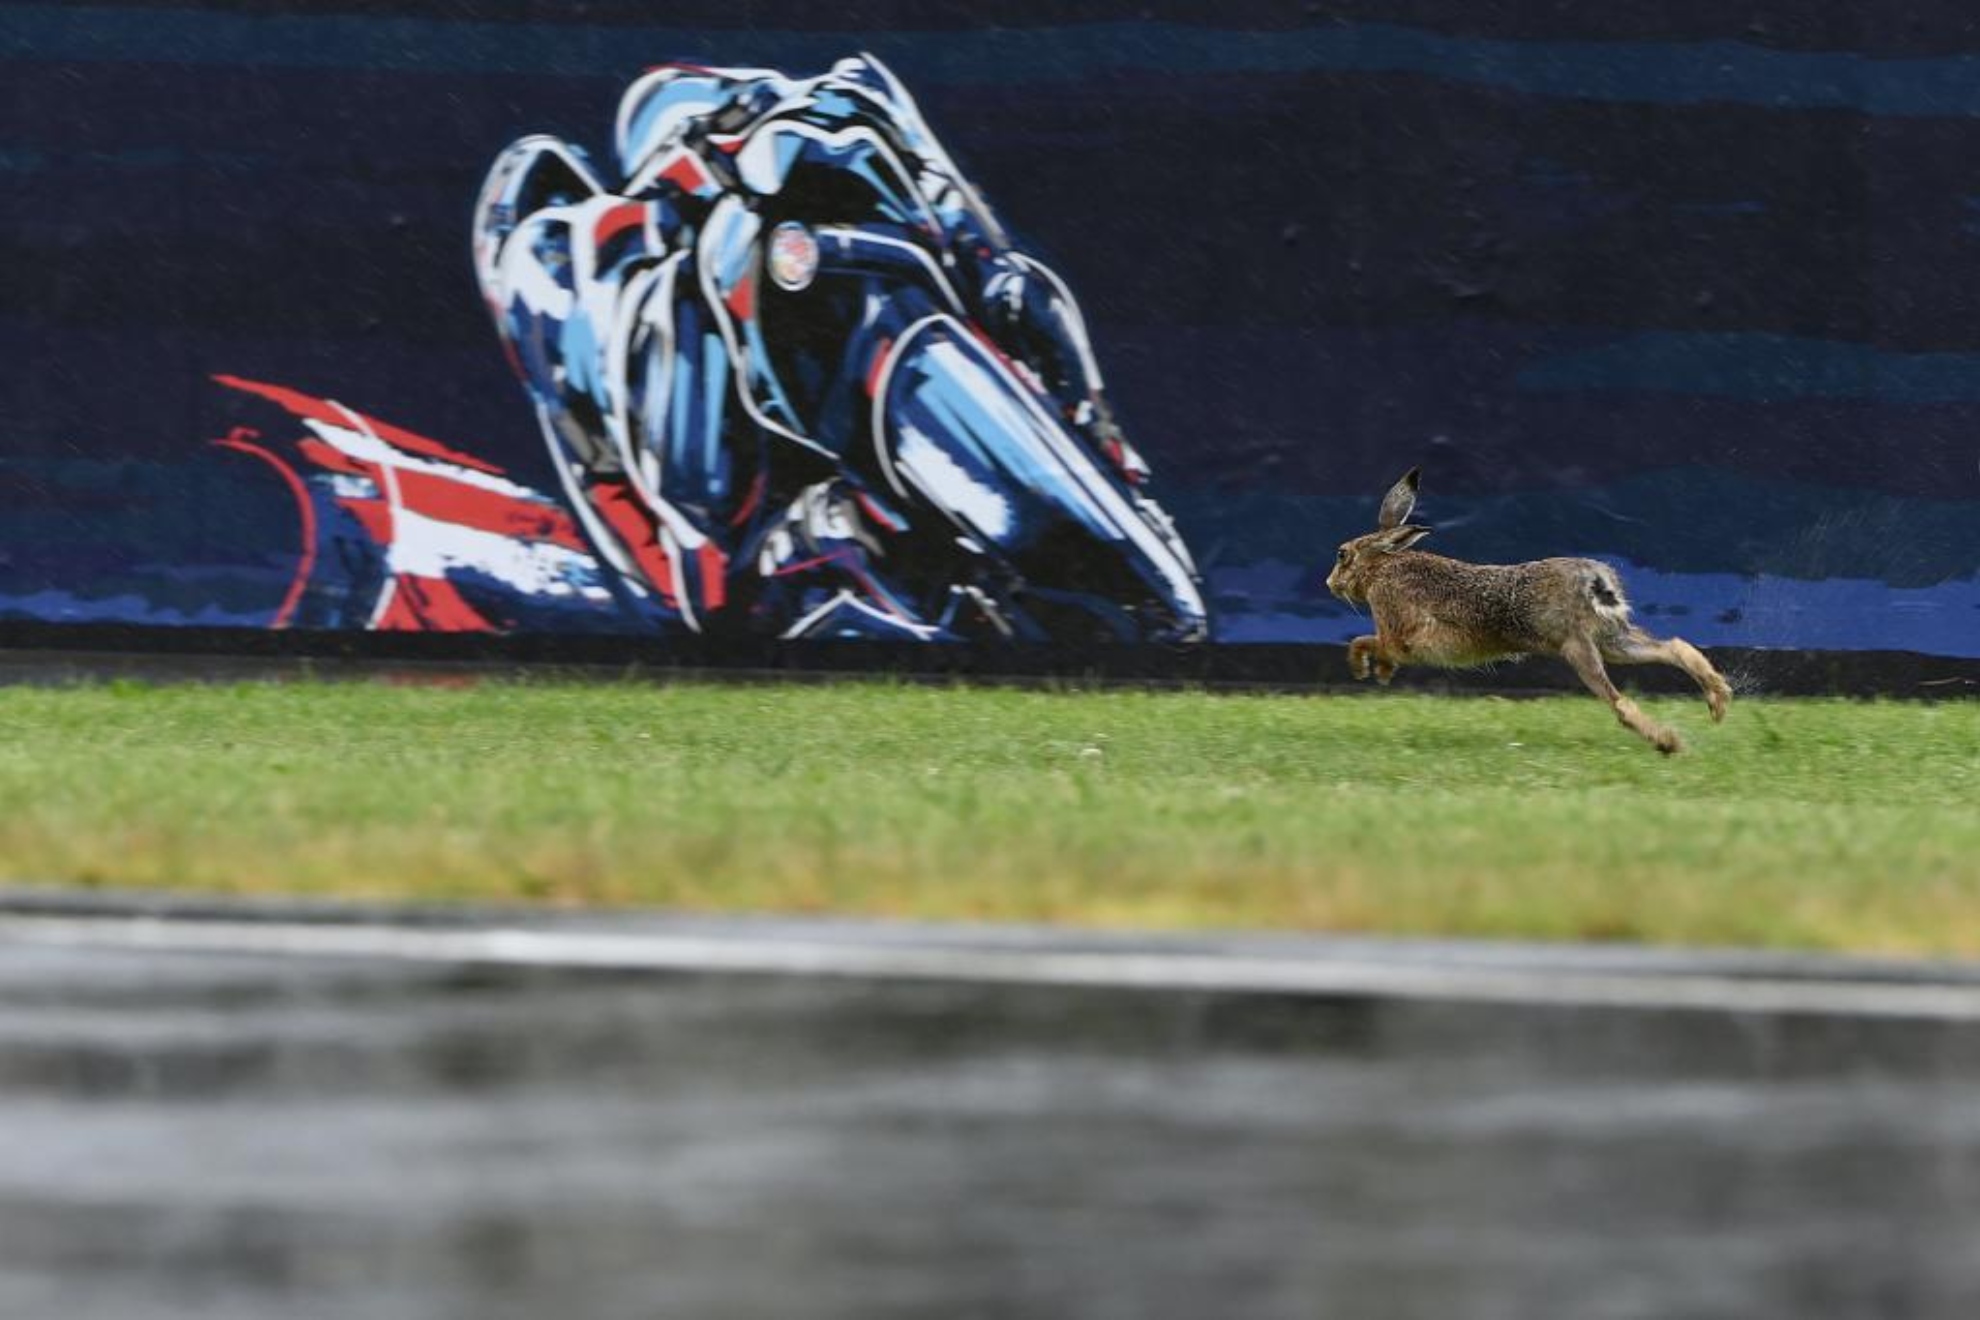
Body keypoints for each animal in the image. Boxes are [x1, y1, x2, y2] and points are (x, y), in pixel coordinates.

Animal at [1324, 468, 1732, 754]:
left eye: (1342, 555)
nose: (1330, 583)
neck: (1382, 568)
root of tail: (1594, 579)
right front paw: (1381, 673)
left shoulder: (1397, 631)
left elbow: (1366, 641)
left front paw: (1367, 670)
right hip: (1612, 640)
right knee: (1674, 648)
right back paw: (1718, 700)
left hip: (1577, 647)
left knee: (1620, 703)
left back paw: (1669, 743)